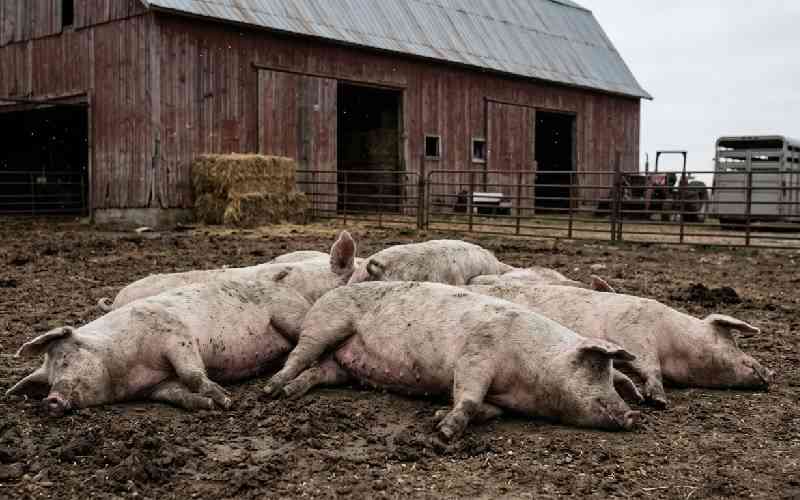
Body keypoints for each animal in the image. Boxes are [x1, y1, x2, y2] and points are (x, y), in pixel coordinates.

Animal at [6, 278, 315, 416]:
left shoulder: (176, 336)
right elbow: (178, 394)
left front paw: (226, 400)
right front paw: (206, 405)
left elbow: (193, 374)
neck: (129, 372)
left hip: (289, 315)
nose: (50, 400)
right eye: (48, 381)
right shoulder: (157, 386)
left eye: (65, 359)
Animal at [263, 282, 641, 440]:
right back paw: (272, 390)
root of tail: (326, 294)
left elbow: (486, 409)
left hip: (342, 365)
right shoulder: (476, 353)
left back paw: (291, 392)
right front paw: (445, 432)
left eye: (612, 376)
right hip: (324, 326)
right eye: (597, 367)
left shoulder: (501, 397)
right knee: (298, 356)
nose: (632, 415)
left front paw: (436, 417)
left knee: (317, 372)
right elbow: (469, 397)